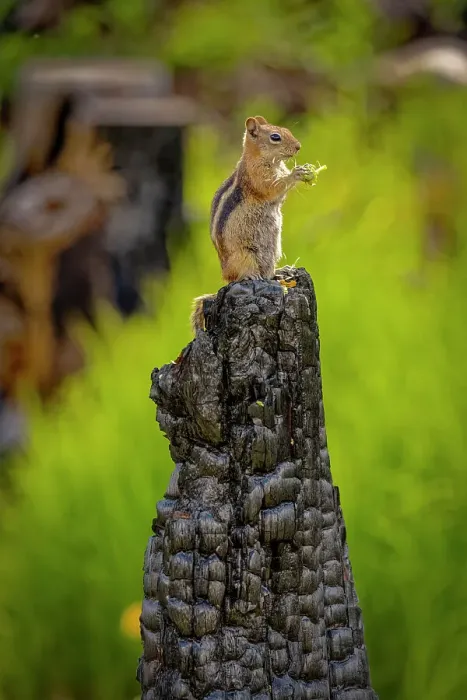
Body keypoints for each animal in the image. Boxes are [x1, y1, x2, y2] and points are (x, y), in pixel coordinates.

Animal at [191, 115, 325, 333]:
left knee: (268, 273)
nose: (298, 147)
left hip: (272, 253)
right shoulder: (258, 176)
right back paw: (251, 277)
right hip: (245, 256)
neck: (265, 159)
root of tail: (225, 274)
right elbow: (273, 187)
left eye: (287, 130)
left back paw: (279, 275)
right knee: (239, 276)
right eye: (275, 137)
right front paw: (296, 173)